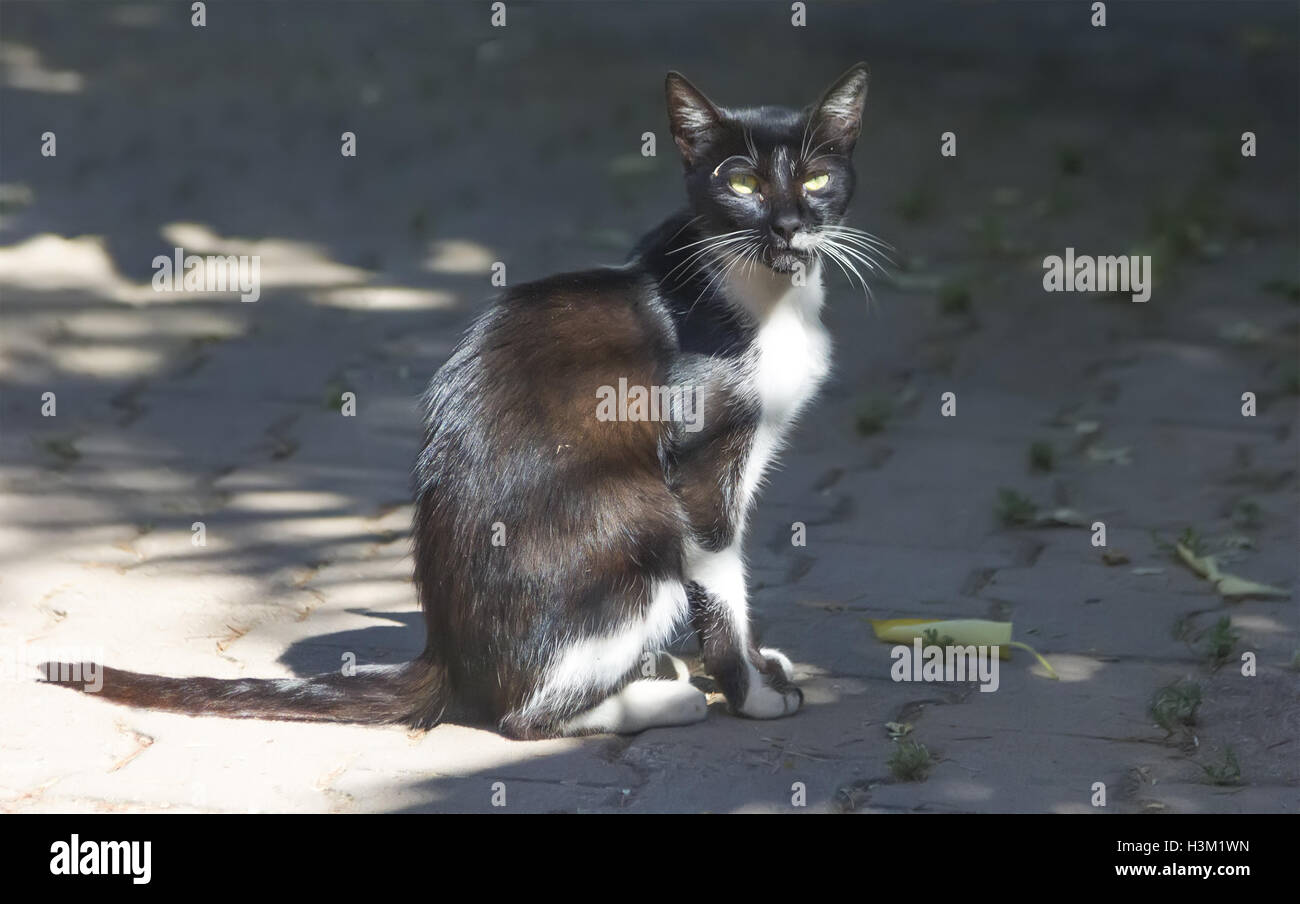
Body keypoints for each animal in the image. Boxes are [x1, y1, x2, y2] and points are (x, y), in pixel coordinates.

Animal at [43, 65, 883, 744]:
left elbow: (732, 579)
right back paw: (657, 700)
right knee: (521, 715)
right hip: (638, 517)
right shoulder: (702, 464)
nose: (787, 226)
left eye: (815, 181)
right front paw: (749, 691)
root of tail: (443, 656)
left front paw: (754, 665)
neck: (763, 297)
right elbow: (723, 579)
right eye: (740, 185)